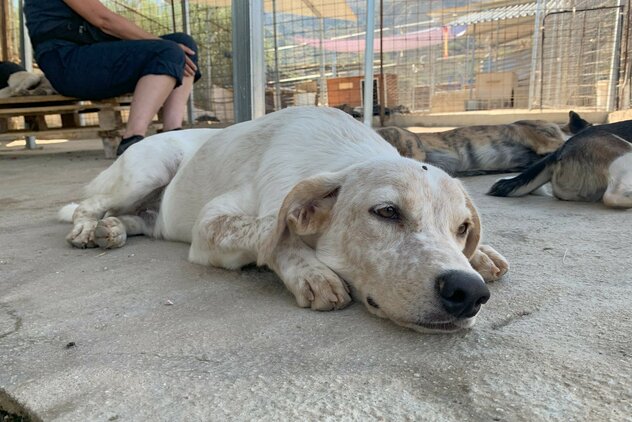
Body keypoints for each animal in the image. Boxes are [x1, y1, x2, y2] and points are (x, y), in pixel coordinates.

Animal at [59, 105, 508, 332]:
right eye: (386, 212)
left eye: (462, 227)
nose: (469, 291)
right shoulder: (209, 226)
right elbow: (271, 229)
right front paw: (311, 272)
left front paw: (480, 254)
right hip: (150, 168)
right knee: (92, 201)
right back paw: (86, 227)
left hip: (152, 211)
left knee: (135, 219)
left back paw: (111, 229)